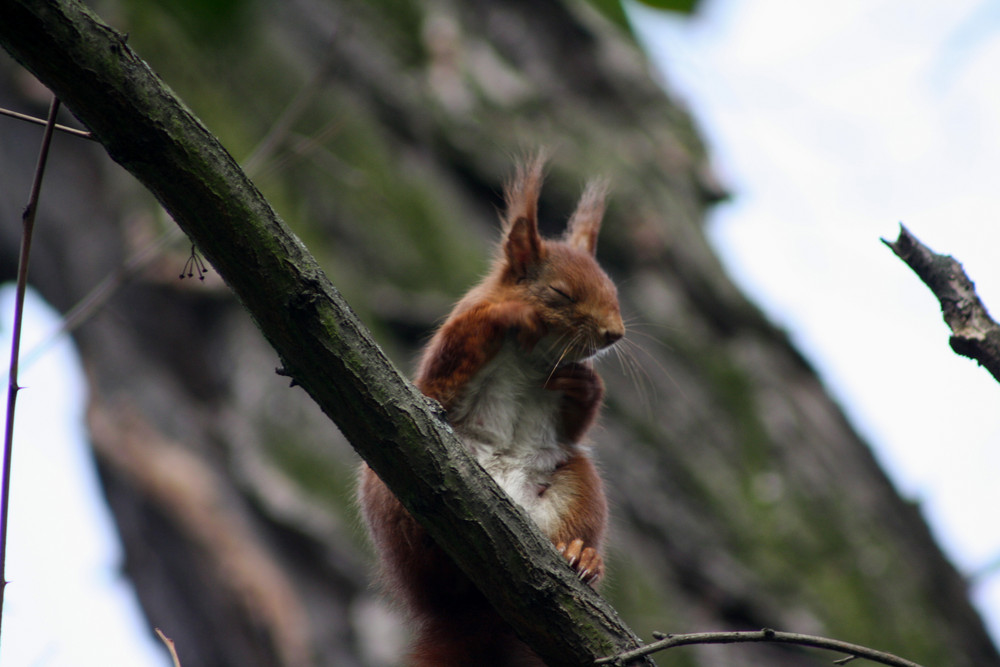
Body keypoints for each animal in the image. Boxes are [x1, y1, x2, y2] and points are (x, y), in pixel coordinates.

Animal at [360, 158, 620, 667]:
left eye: (613, 289)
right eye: (560, 292)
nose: (614, 333)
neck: (536, 355)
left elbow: (578, 417)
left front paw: (588, 384)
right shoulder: (442, 369)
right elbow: (446, 373)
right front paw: (512, 312)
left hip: (577, 485)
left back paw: (583, 556)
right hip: (394, 489)